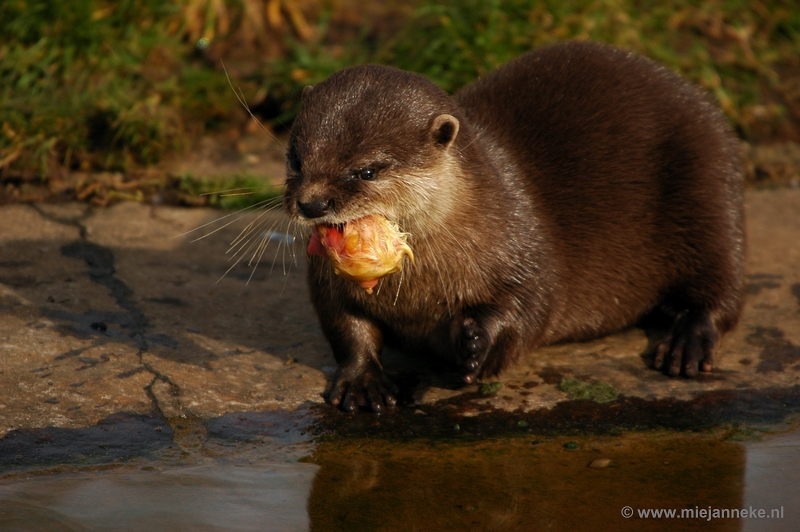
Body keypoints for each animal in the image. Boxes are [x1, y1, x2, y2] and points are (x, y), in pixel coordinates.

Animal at [282, 42, 744, 416]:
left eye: (367, 171)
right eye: (296, 159)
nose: (312, 203)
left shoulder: (523, 244)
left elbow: (532, 308)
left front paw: (474, 344)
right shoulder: (327, 281)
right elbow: (344, 324)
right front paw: (362, 380)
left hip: (708, 187)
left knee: (724, 289)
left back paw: (688, 341)